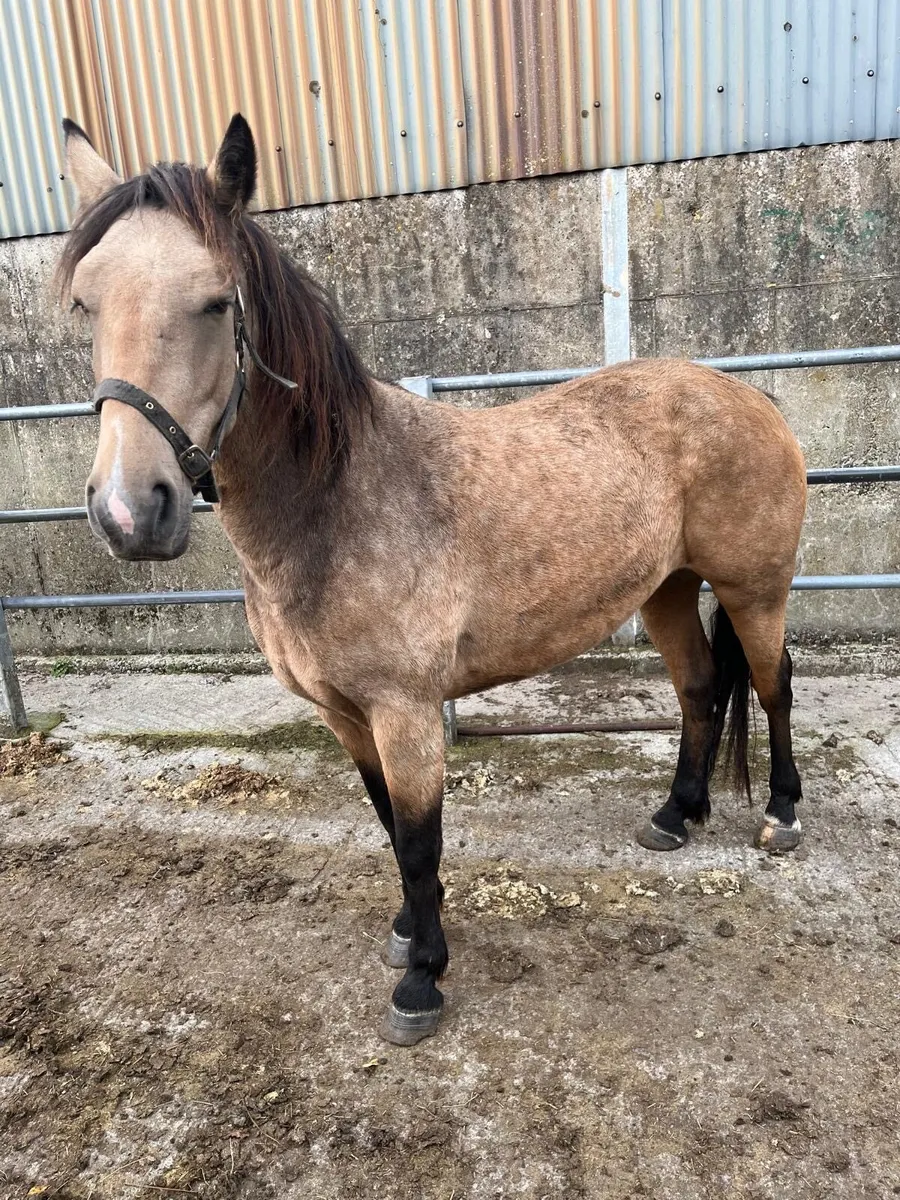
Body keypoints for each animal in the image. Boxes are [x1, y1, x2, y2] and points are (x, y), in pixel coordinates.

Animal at [59, 113, 807, 1045]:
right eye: (86, 302)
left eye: (217, 301)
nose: (129, 512)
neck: (339, 501)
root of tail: (750, 398)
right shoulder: (346, 716)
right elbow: (388, 826)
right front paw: (411, 932)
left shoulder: (405, 710)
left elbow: (418, 840)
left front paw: (421, 981)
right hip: (667, 589)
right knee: (701, 689)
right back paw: (675, 816)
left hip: (753, 591)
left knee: (774, 689)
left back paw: (782, 816)